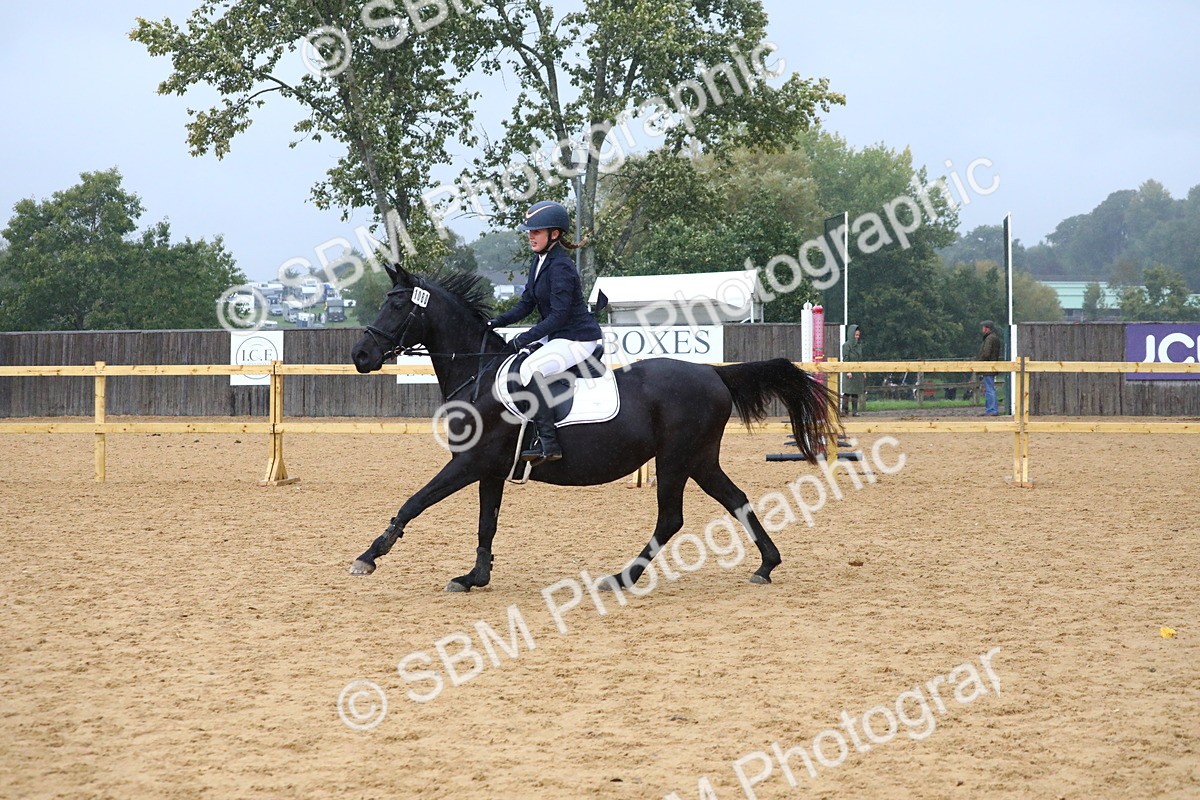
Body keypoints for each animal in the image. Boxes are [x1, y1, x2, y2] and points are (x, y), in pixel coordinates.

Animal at [349, 264, 839, 592]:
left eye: (397, 304)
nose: (360, 355)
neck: (479, 374)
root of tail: (713, 373)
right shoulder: (489, 470)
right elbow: (486, 524)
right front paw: (474, 577)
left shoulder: (470, 462)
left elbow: (415, 502)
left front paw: (370, 555)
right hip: (699, 459)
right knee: (736, 500)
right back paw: (766, 565)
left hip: (676, 458)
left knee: (671, 518)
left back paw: (622, 577)